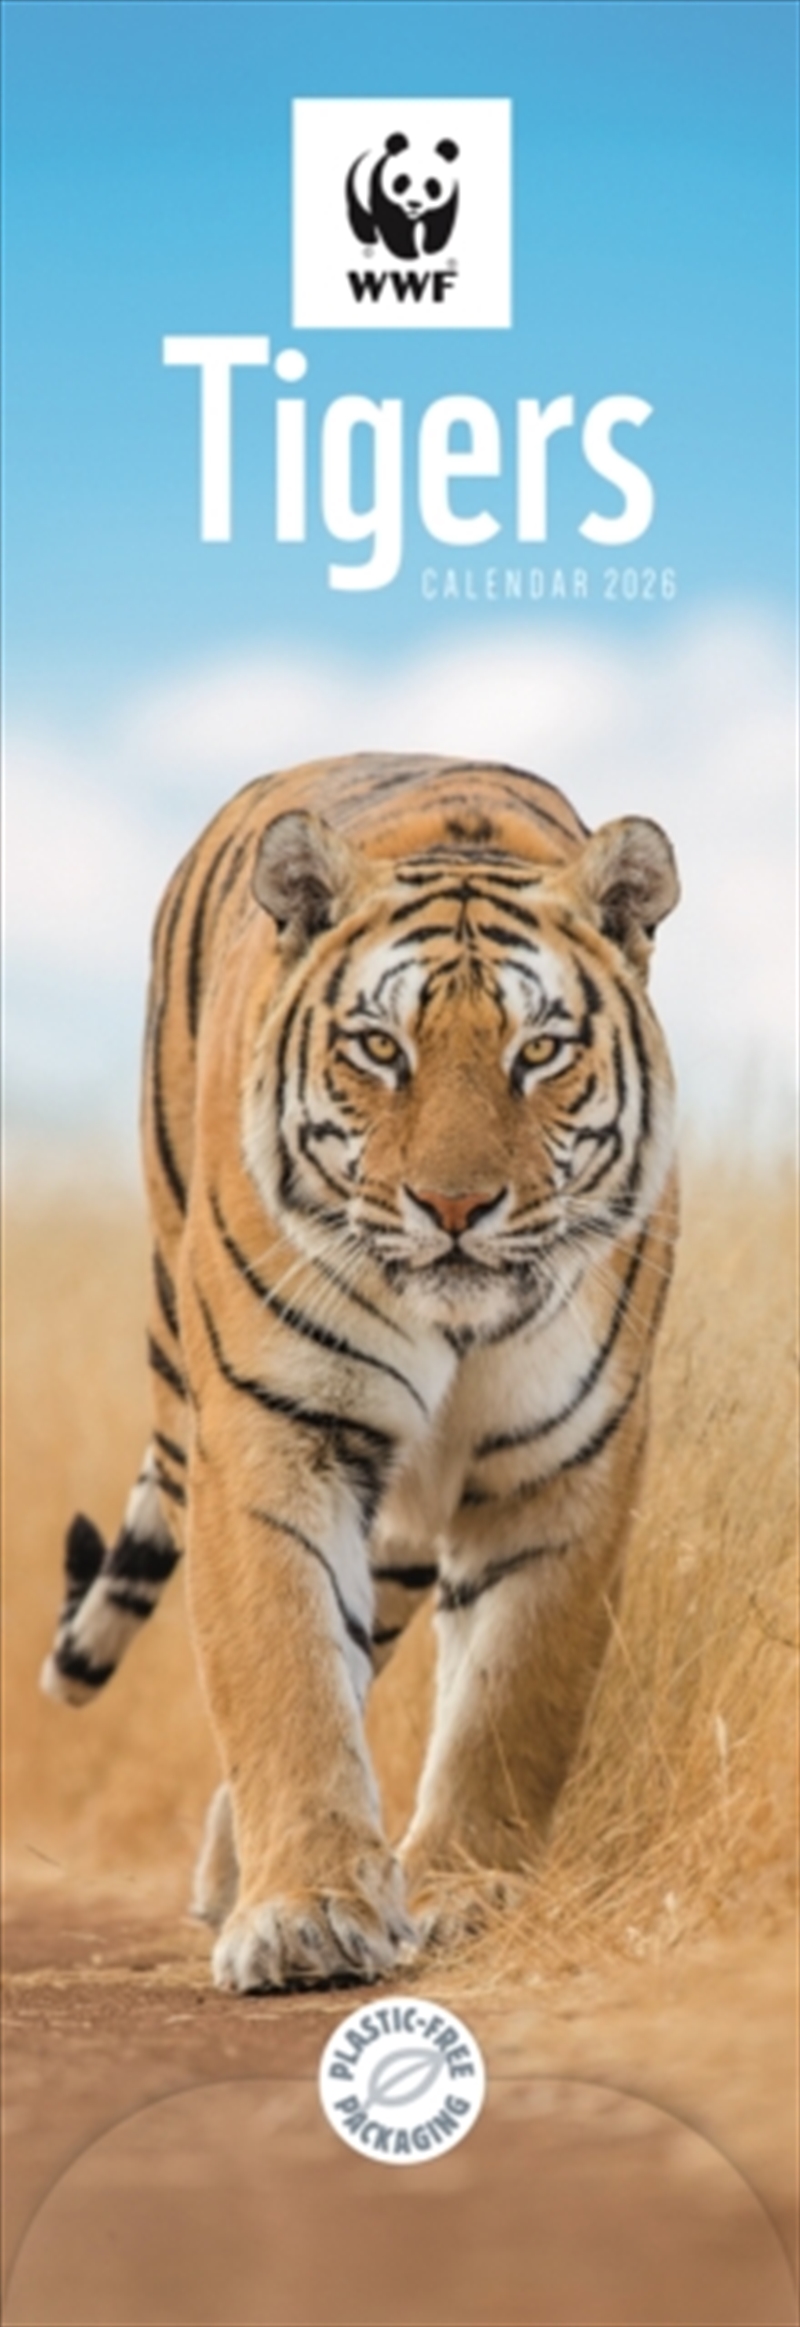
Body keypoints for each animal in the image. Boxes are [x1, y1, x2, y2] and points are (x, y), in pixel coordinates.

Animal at [42, 752, 680, 1992]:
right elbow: (284, 1673)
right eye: (381, 1048)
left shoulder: (562, 1464)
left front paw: (464, 1895)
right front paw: (306, 1914)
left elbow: (510, 1701)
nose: (454, 1206)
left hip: (400, 1532)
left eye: (539, 1050)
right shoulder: (274, 1429)